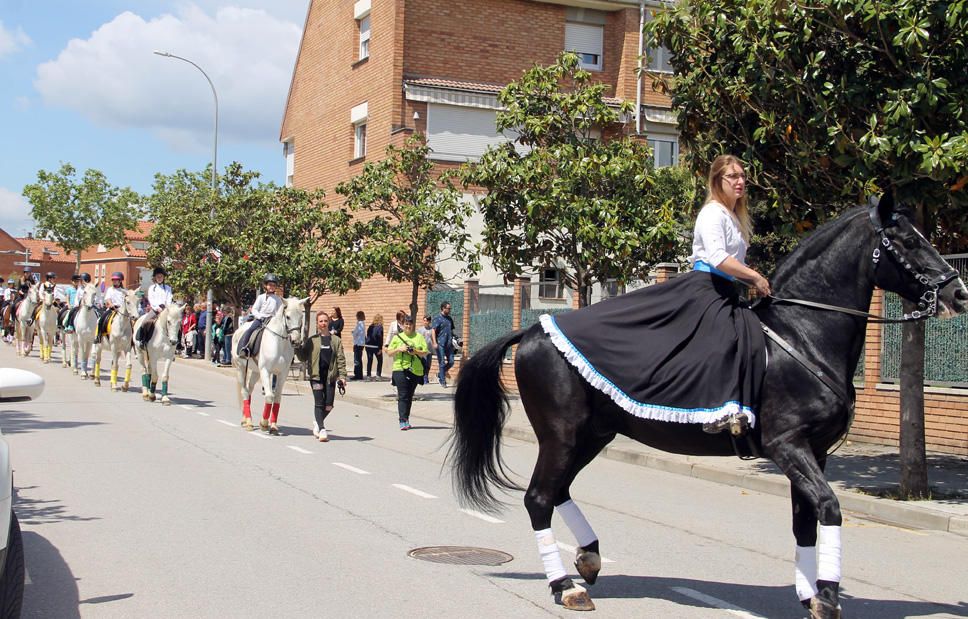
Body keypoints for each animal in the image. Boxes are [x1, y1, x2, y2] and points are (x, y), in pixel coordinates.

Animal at [233, 296, 308, 434]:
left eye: (301, 316)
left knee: (249, 391)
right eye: (288, 316)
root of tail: (238, 331)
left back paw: (245, 419)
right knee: (244, 392)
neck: (279, 342)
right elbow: (269, 396)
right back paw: (249, 422)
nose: (296, 341)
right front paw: (264, 423)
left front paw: (273, 426)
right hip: (241, 368)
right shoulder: (266, 371)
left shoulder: (282, 373)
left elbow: (277, 397)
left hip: (256, 372)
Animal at [450, 193, 964, 616]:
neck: (803, 334)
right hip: (561, 435)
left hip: (592, 435)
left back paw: (589, 558)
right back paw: (565, 586)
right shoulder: (788, 445)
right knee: (538, 498)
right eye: (909, 241)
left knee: (557, 492)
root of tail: (532, 331)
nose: (957, 292)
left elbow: (805, 522)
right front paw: (828, 597)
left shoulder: (813, 452)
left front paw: (809, 594)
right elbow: (830, 508)